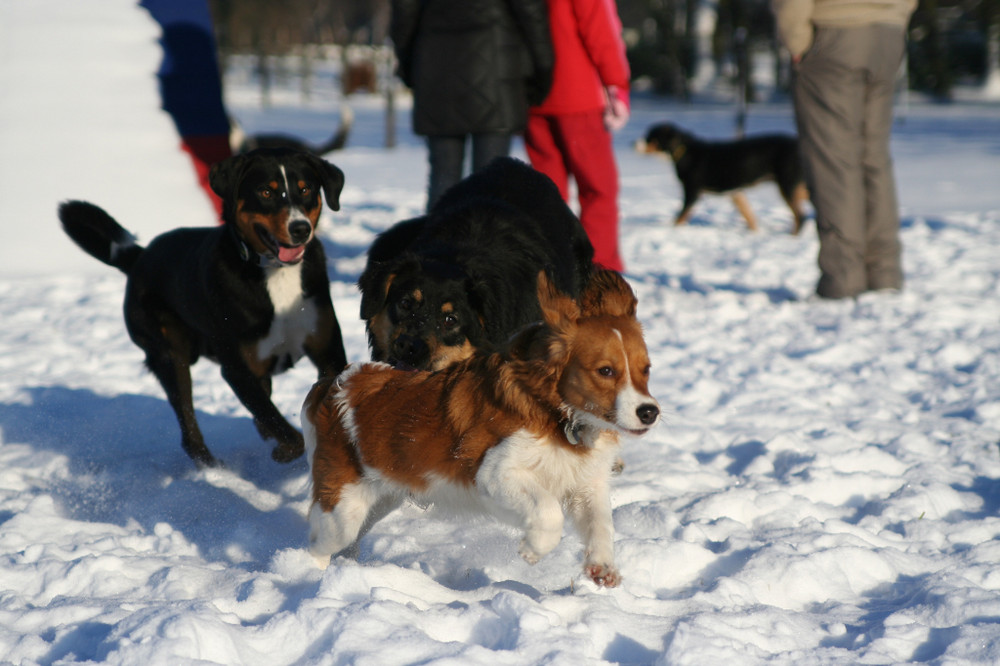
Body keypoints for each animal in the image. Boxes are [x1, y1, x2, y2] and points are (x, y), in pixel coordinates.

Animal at [58, 147, 350, 464]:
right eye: (266, 192)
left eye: (306, 189)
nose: (299, 228)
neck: (277, 274)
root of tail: (138, 257)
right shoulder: (238, 368)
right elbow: (278, 424)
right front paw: (285, 450)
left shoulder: (327, 349)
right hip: (169, 354)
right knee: (189, 427)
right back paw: (212, 467)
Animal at [300, 270, 660, 588]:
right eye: (605, 371)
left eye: (646, 369)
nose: (649, 412)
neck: (558, 415)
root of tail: (334, 383)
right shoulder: (495, 473)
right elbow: (548, 513)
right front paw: (533, 549)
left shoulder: (586, 484)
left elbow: (601, 524)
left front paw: (602, 568)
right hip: (342, 508)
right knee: (317, 546)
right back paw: (306, 577)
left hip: (381, 499)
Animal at [640, 122, 812, 233]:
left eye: (649, 138)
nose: (634, 143)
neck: (685, 151)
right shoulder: (736, 193)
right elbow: (749, 216)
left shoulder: (692, 191)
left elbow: (680, 217)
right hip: (793, 185)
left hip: (787, 184)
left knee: (800, 216)